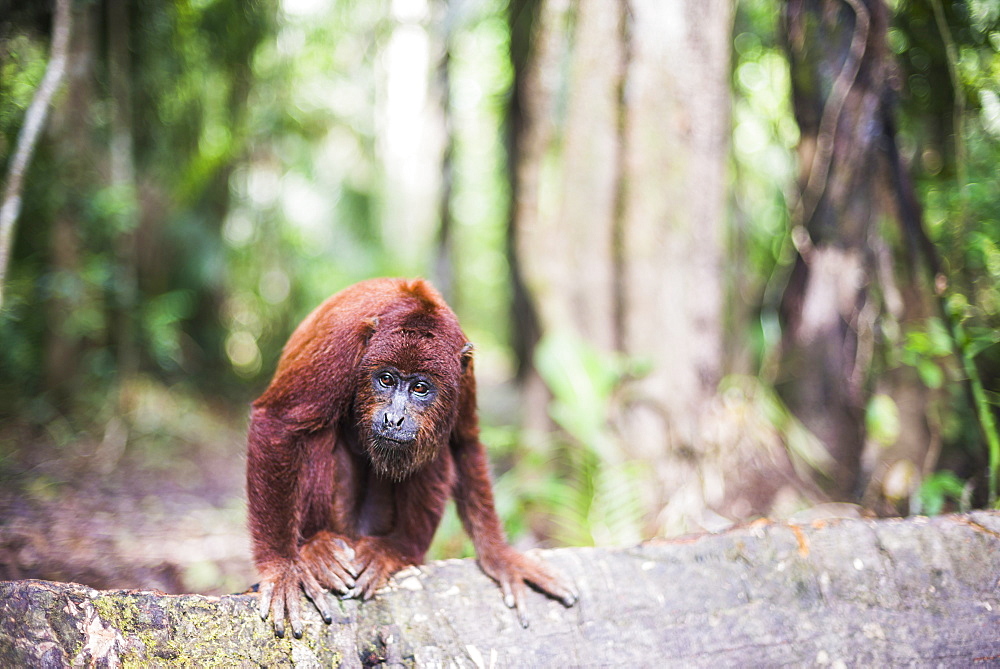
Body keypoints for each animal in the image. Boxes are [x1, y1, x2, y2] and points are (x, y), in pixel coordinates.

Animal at [246, 276, 580, 636]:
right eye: (386, 379)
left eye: (420, 388)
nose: (394, 419)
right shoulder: (339, 344)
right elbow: (278, 423)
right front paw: (282, 567)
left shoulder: (464, 370)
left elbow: (465, 443)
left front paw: (501, 556)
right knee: (315, 435)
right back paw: (316, 549)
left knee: (437, 453)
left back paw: (397, 550)